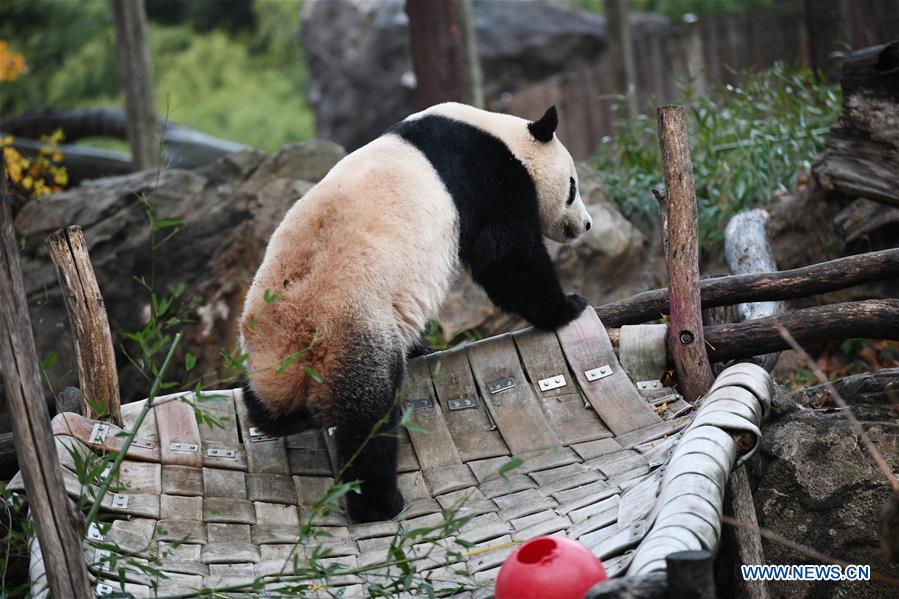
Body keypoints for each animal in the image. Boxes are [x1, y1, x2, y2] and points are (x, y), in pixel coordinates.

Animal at [241, 102, 592, 520]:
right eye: (572, 187)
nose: (585, 225)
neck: (499, 134)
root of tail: (292, 340)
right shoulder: (485, 177)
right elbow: (505, 257)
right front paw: (568, 306)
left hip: (267, 352)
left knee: (262, 401)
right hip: (354, 328)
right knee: (367, 418)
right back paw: (378, 504)